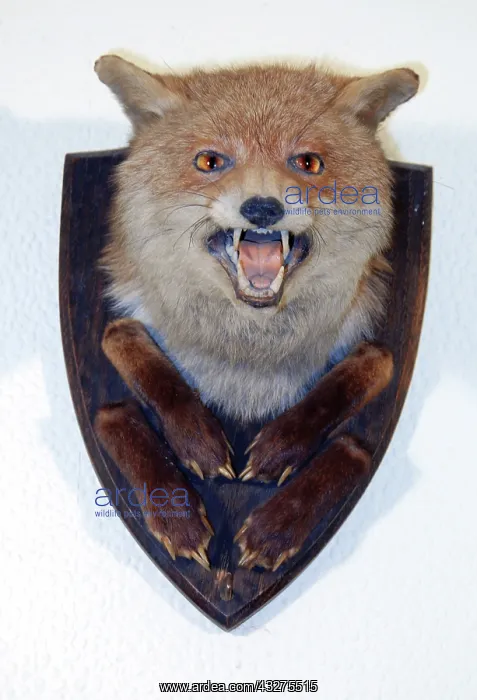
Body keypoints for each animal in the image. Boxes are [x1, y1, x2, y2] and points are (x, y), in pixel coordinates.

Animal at [94, 55, 419, 572]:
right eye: (210, 161)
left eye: (307, 163)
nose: (263, 208)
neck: (248, 362)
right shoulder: (126, 330)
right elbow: (134, 359)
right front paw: (190, 469)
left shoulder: (372, 354)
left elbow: (361, 378)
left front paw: (277, 504)